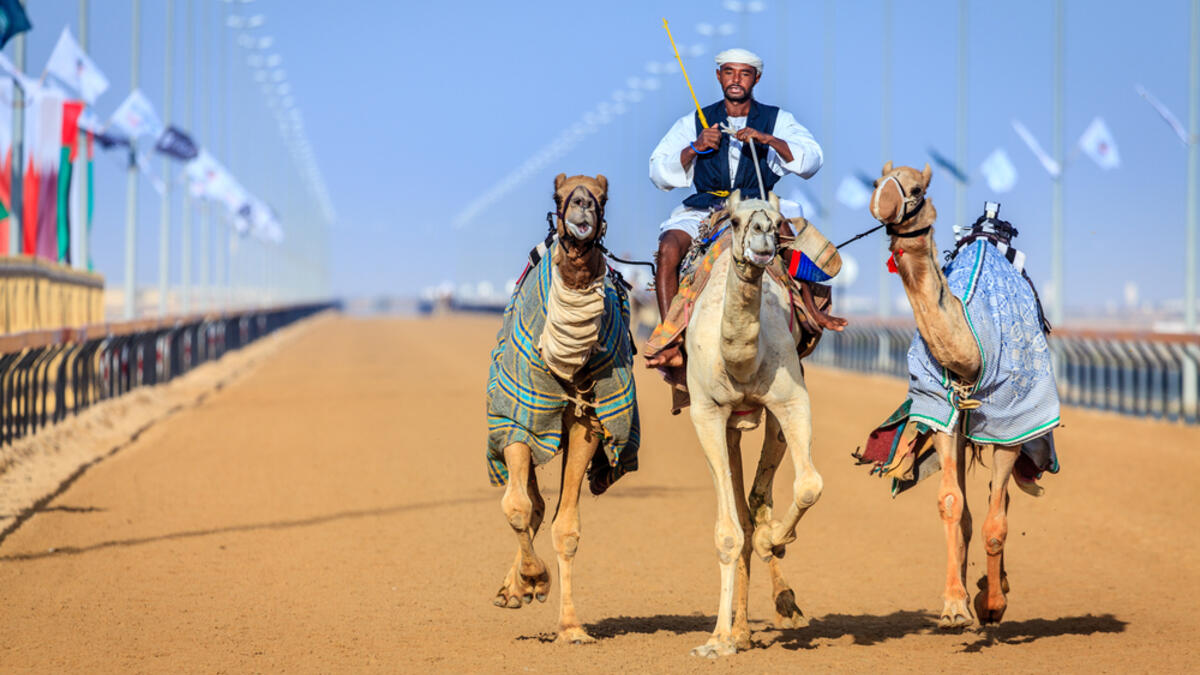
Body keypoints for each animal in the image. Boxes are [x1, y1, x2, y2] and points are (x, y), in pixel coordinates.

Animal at [485, 173, 640, 645]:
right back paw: (516, 587)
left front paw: (570, 625)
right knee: (529, 499)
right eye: (559, 194)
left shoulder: (588, 420)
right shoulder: (521, 415)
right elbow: (517, 506)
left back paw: (513, 589)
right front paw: (535, 578)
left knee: (541, 505)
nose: (582, 208)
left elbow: (566, 526)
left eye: (603, 196)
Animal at [684, 189, 839, 657]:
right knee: (741, 509)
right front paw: (717, 640)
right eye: (736, 222)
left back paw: (770, 608)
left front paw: (776, 540)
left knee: (756, 499)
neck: (739, 360)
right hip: (727, 425)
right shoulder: (706, 412)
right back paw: (738, 630)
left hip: (766, 417)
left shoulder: (791, 399)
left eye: (778, 221)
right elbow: (728, 532)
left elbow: (809, 485)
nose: (762, 238)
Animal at [866, 162, 1060, 628]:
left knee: (1000, 502)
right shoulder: (942, 415)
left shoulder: (1012, 422)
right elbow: (953, 504)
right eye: (878, 180)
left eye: (916, 188)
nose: (881, 200)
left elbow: (996, 520)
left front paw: (992, 604)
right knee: (974, 510)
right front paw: (955, 604)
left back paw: (995, 590)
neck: (970, 355)